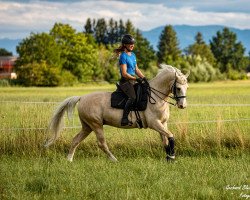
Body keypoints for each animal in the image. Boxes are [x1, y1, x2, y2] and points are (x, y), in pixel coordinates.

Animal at [45, 65, 189, 162]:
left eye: (186, 87)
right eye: (178, 88)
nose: (183, 106)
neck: (155, 97)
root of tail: (82, 98)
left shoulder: (163, 124)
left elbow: (165, 140)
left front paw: (169, 157)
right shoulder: (154, 124)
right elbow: (171, 136)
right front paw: (172, 156)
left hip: (87, 126)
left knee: (75, 140)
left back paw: (69, 159)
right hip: (96, 125)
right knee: (101, 143)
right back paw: (114, 159)